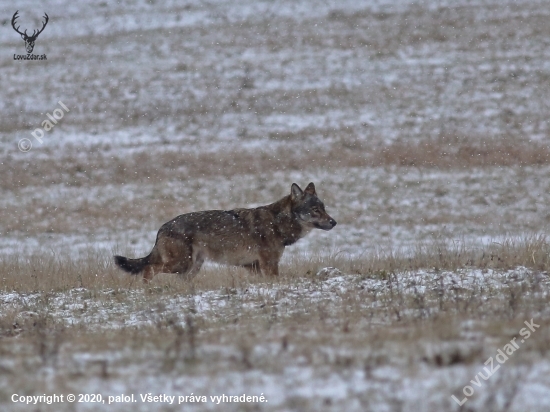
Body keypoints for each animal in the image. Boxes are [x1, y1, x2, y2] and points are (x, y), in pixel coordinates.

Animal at [115, 182, 338, 282]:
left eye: (324, 208)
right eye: (315, 210)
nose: (334, 222)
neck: (278, 222)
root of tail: (162, 227)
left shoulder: (253, 267)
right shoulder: (269, 264)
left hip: (190, 268)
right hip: (180, 264)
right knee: (148, 269)